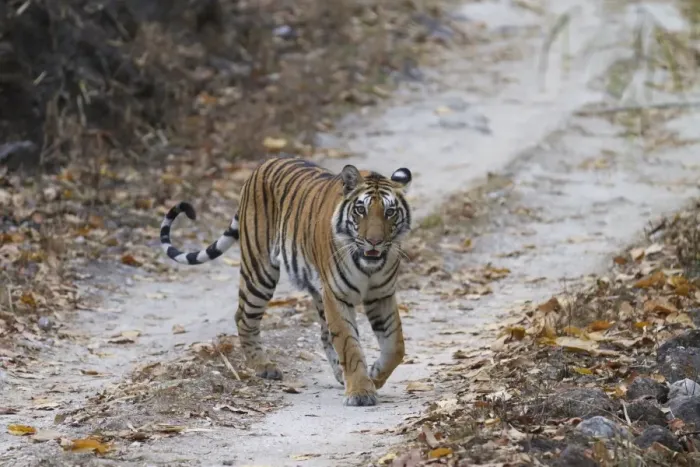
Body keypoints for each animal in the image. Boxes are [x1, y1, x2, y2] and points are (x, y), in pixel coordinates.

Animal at [158, 155, 412, 406]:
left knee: (324, 334)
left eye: (390, 212)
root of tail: (262, 165)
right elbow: (349, 344)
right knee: (244, 317)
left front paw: (374, 376)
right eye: (361, 210)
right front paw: (360, 392)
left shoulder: (381, 295)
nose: (374, 242)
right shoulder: (336, 295)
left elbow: (395, 346)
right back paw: (263, 366)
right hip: (259, 272)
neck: (369, 266)